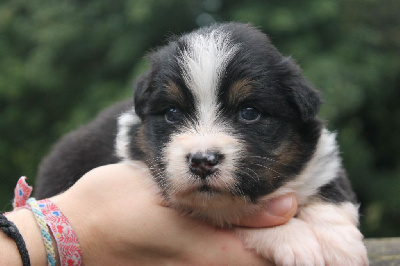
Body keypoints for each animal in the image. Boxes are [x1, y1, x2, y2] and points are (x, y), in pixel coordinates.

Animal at [35, 23, 368, 266]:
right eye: (172, 113)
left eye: (249, 112)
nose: (202, 161)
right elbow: (238, 212)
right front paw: (298, 241)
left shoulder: (320, 153)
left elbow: (332, 190)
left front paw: (340, 246)